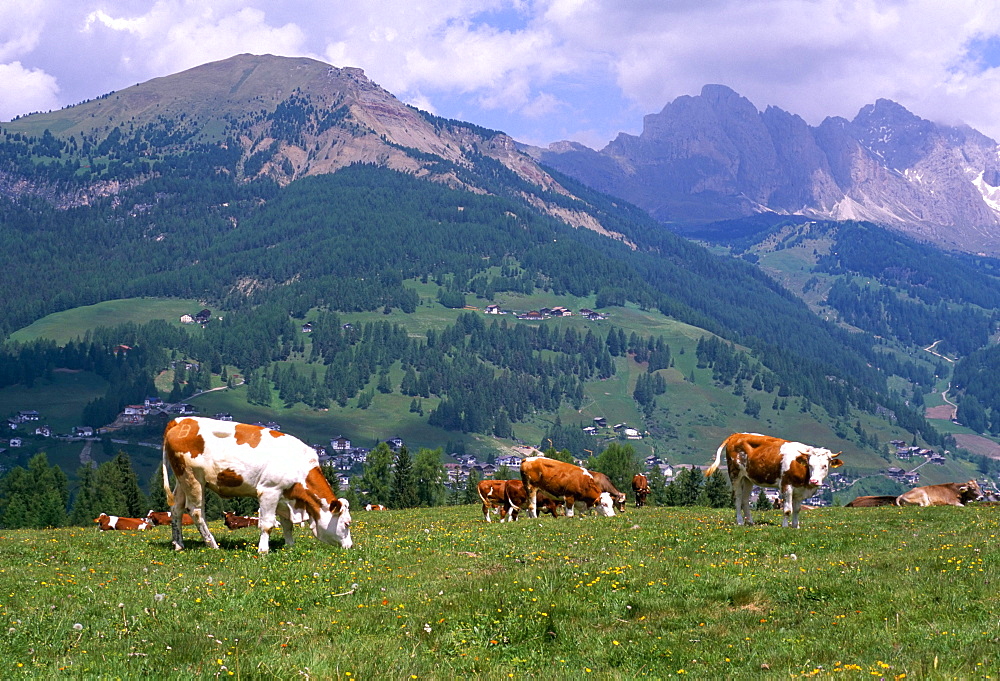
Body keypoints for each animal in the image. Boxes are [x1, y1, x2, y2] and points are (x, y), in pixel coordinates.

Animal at [162, 414, 354, 552]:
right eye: (346, 523)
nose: (350, 546)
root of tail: (180, 421)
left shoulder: (284, 496)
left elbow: (287, 524)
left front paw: (290, 546)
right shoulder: (269, 490)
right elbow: (267, 524)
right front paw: (263, 550)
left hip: (181, 479)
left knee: (176, 508)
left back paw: (178, 544)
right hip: (193, 478)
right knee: (196, 511)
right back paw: (212, 544)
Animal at [704, 432, 844, 528]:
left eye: (825, 466)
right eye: (810, 465)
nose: (814, 481)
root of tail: (737, 434)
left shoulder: (800, 490)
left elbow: (797, 509)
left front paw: (796, 526)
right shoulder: (786, 485)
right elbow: (787, 509)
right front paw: (785, 526)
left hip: (747, 478)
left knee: (745, 499)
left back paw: (750, 522)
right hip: (735, 474)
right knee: (737, 498)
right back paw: (740, 521)